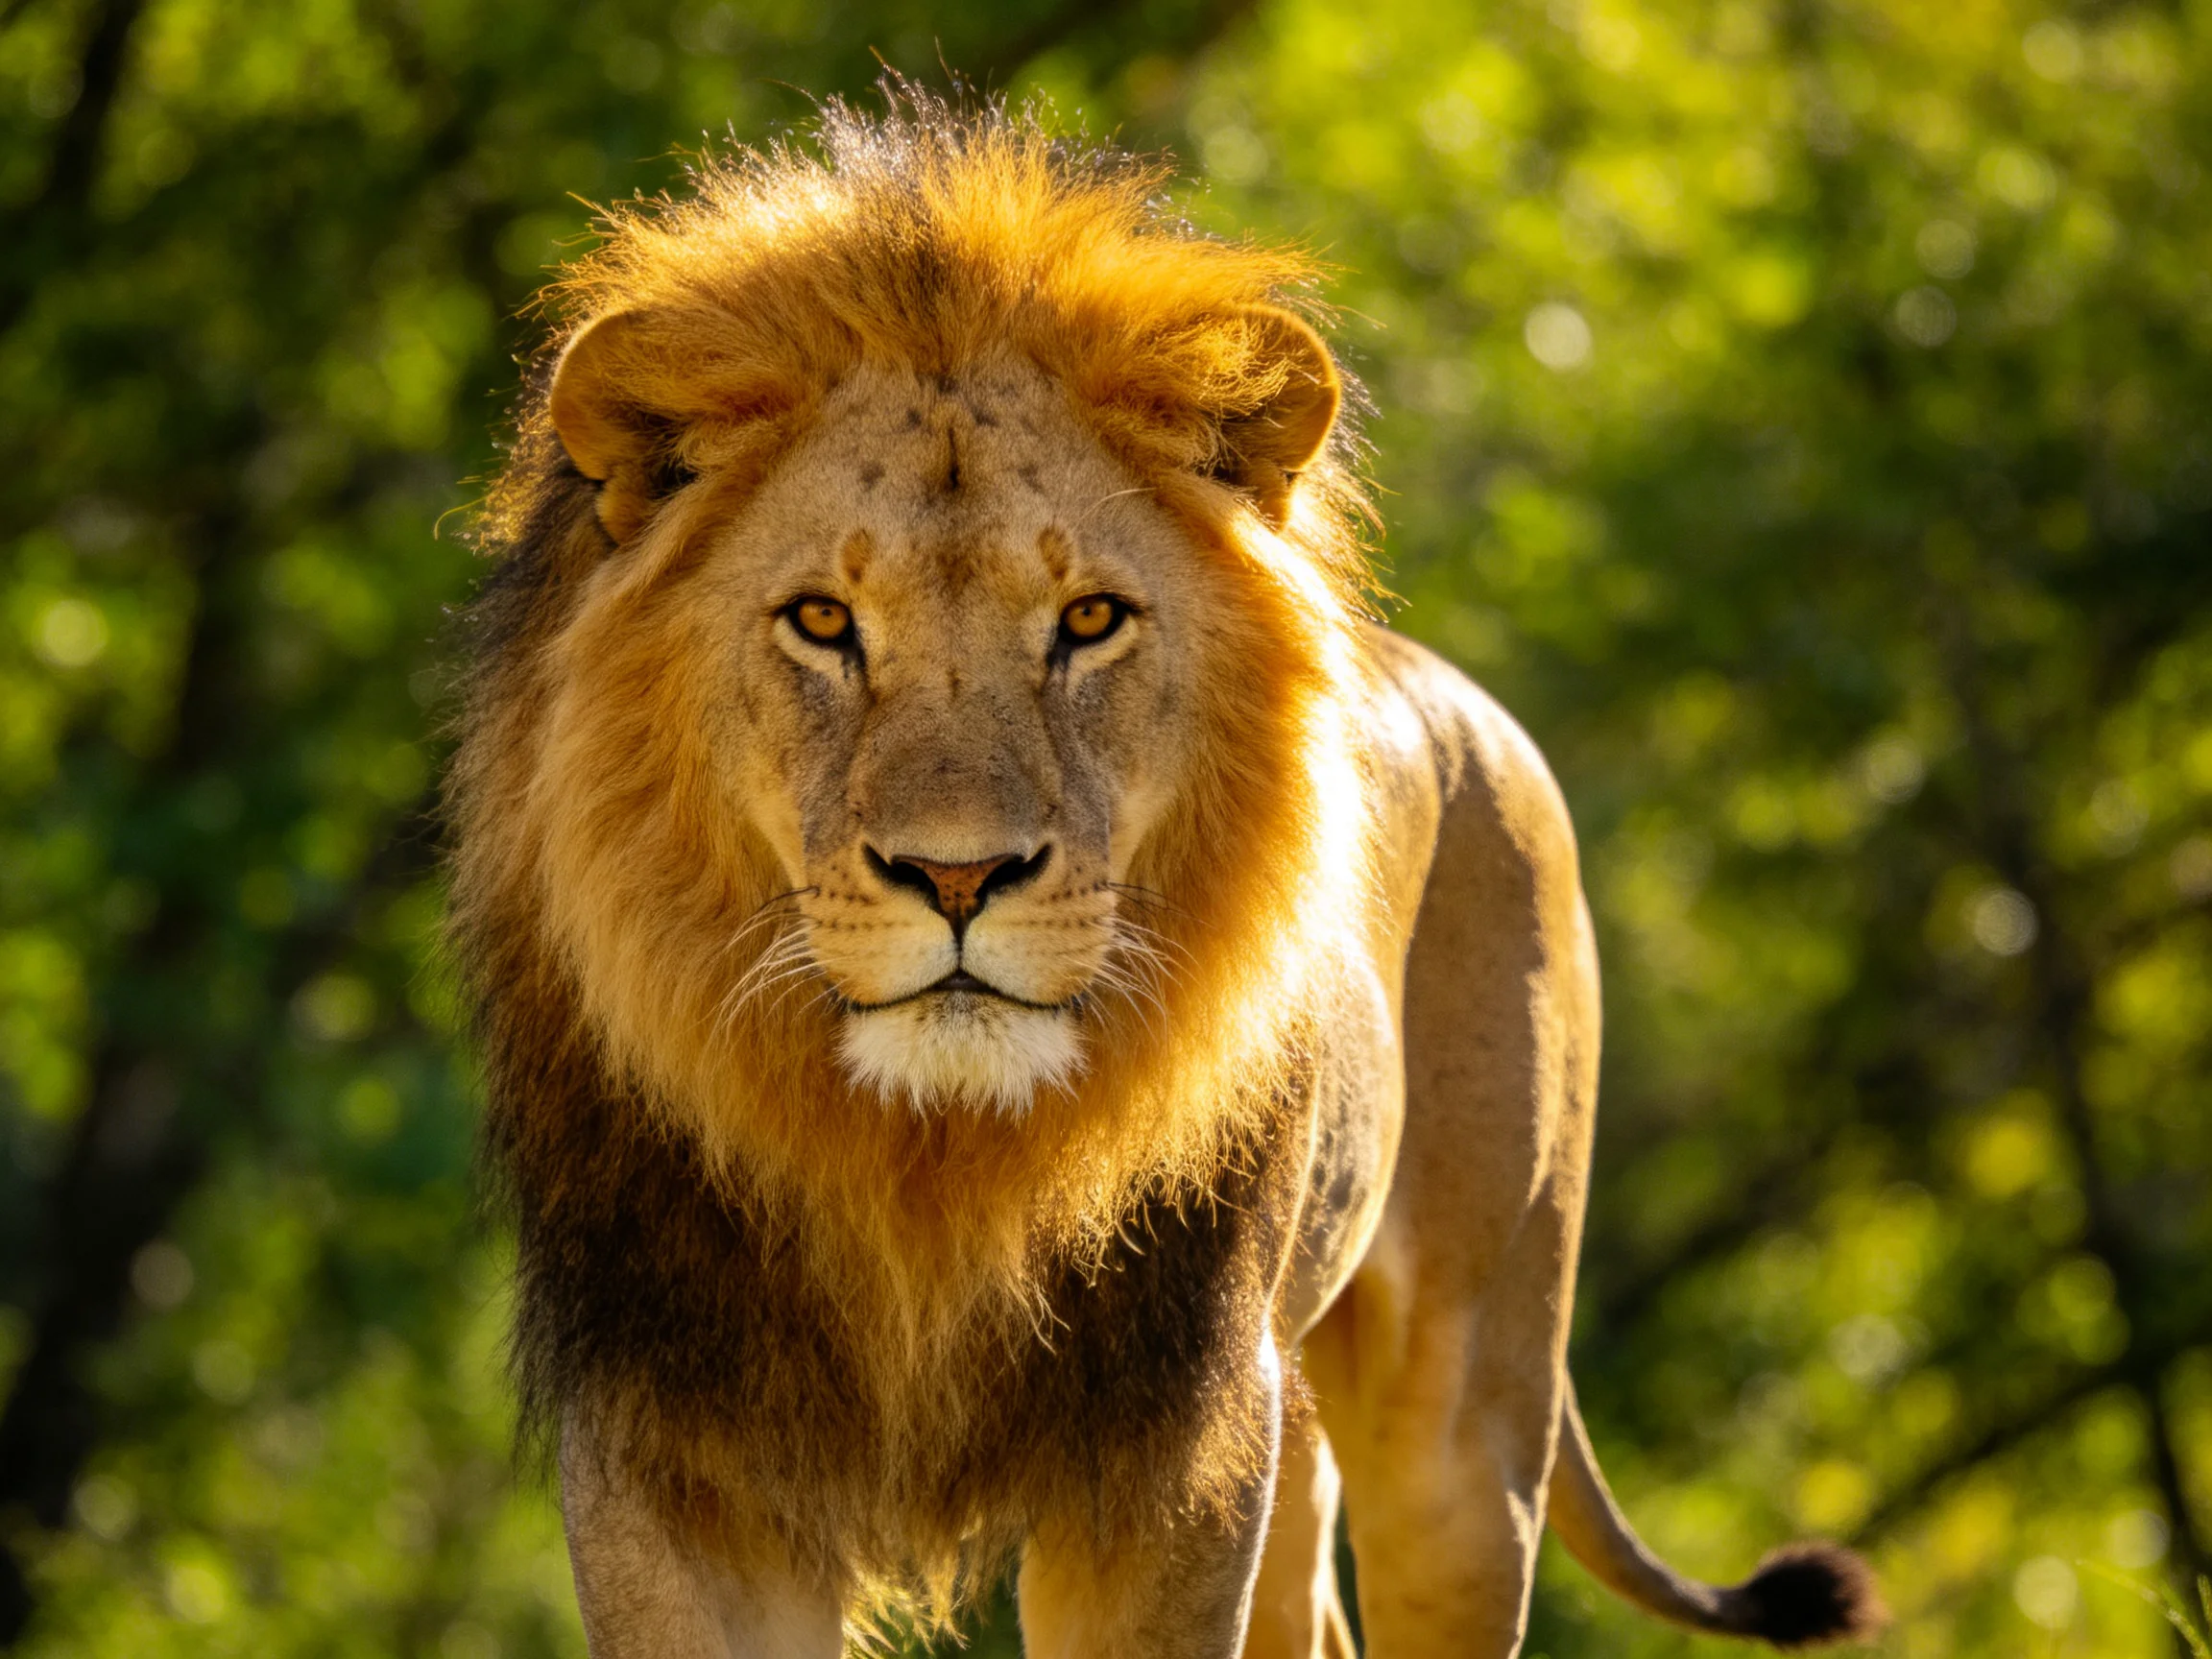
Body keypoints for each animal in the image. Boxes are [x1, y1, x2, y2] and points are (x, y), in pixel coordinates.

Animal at [447, 91, 1885, 1658]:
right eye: (822, 621)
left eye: (1090, 621)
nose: (960, 877)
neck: (925, 1167)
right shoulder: (669, 1450)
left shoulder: (1172, 1447)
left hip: (1458, 1418)